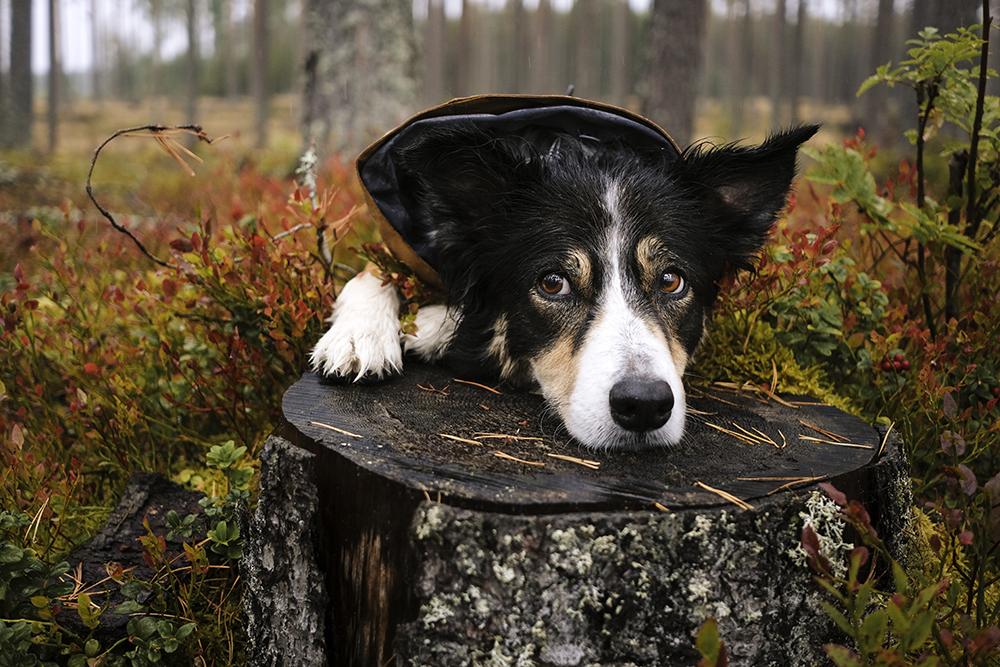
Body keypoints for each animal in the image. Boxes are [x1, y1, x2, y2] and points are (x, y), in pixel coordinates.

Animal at [308, 100, 816, 454]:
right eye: (553, 283)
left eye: (672, 281)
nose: (644, 405)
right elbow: (373, 270)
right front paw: (359, 337)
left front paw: (432, 328)